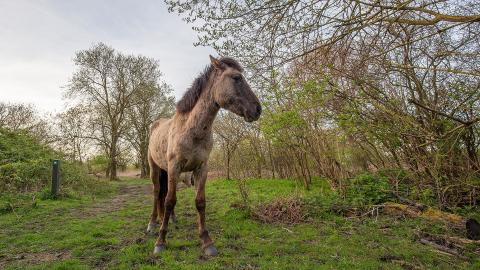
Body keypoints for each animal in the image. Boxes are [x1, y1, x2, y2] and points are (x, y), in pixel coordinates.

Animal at [145, 55, 260, 255]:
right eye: (236, 78)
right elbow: (169, 201)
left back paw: (173, 220)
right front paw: (160, 242)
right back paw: (152, 225)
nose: (258, 109)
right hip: (155, 168)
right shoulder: (175, 167)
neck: (191, 129)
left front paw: (207, 242)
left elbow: (199, 202)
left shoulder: (201, 168)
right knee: (158, 192)